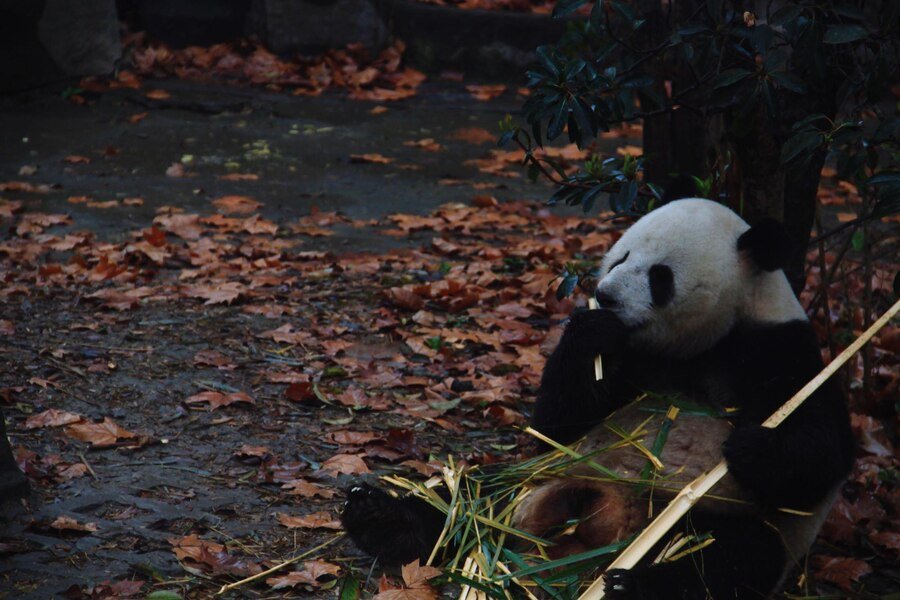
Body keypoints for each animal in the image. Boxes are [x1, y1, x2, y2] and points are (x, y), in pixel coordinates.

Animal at [342, 199, 856, 596]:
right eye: (620, 255)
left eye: (660, 275)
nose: (605, 296)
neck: (703, 340)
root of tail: (601, 527)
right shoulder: (630, 357)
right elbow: (554, 426)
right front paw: (590, 329)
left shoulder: (779, 351)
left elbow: (819, 453)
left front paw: (748, 446)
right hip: (538, 479)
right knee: (469, 495)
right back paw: (380, 516)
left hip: (701, 521)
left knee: (732, 559)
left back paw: (633, 587)